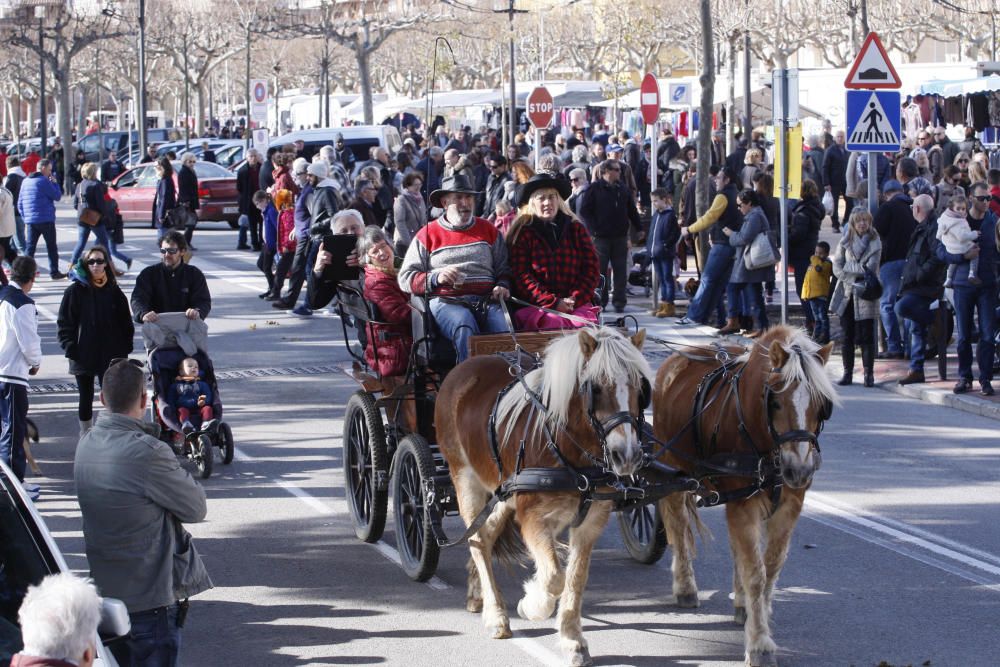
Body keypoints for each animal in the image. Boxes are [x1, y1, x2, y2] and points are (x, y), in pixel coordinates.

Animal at [436, 326, 648, 664]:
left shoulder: (589, 522)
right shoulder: (534, 518)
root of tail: (463, 369)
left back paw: (477, 593)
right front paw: (531, 606)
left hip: (504, 492)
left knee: (485, 535)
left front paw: (573, 640)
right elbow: (555, 578)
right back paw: (496, 615)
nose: (626, 455)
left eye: (639, 388)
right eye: (596, 388)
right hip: (465, 477)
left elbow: (575, 578)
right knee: (476, 539)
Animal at [652, 326, 840, 664]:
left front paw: (757, 617)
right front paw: (760, 644)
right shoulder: (743, 503)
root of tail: (676, 359)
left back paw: (740, 603)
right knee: (678, 526)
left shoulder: (789, 504)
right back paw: (685, 586)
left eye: (821, 403)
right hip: (673, 469)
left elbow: (770, 567)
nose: (800, 469)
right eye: (775, 401)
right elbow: (756, 573)